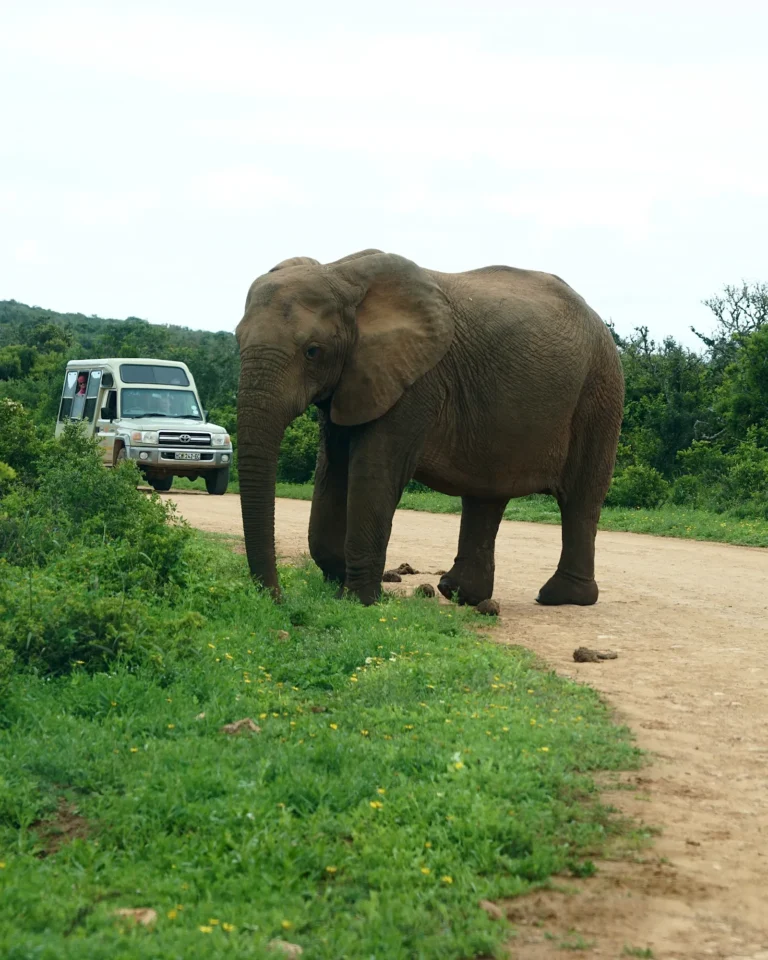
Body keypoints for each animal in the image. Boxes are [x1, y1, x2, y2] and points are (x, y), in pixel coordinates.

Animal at [235, 249, 624, 609]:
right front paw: (337, 586)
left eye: (313, 351)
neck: (339, 274)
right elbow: (333, 466)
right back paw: (460, 594)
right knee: (486, 495)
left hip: (599, 389)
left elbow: (375, 471)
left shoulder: (416, 380)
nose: (277, 599)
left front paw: (358, 603)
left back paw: (560, 597)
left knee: (580, 498)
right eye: (237, 340)